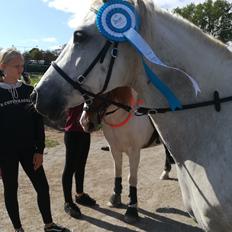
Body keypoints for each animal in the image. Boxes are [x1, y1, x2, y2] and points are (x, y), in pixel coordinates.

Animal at [79, 85, 174, 223]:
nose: (85, 123)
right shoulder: (114, 149)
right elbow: (117, 173)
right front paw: (115, 198)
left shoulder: (134, 152)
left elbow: (132, 178)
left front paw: (132, 209)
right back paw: (165, 172)